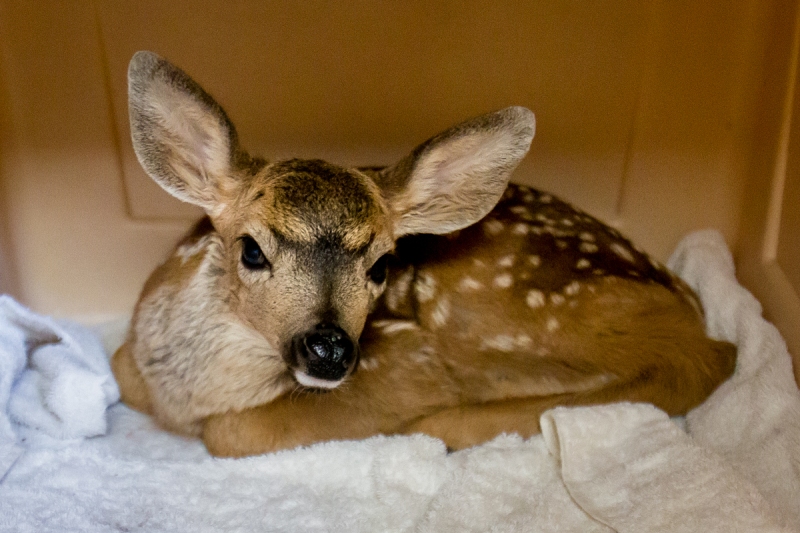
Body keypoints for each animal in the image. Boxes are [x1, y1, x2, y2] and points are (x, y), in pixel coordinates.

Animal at [111, 51, 737, 457]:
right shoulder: (125, 360)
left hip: (496, 319)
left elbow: (231, 433)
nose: (330, 349)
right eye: (251, 251)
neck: (182, 396)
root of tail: (692, 318)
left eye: (381, 265)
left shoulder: (408, 359)